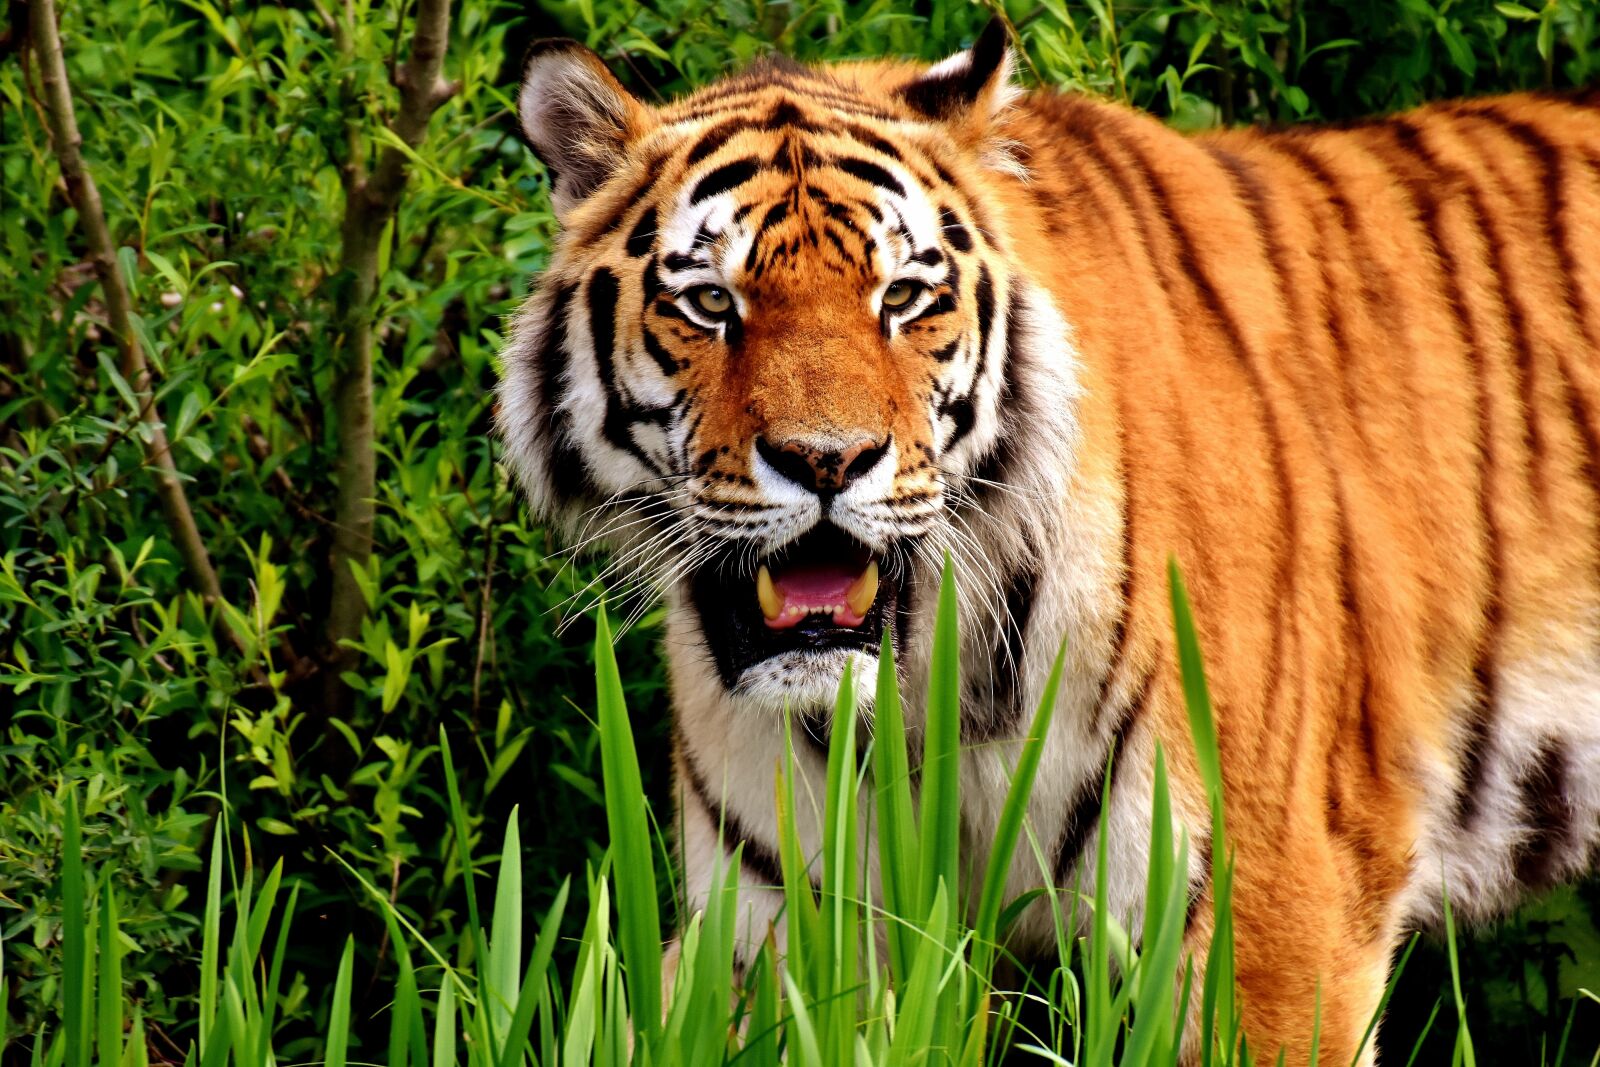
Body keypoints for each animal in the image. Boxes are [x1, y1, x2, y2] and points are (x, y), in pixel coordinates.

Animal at [496, 19, 1600, 1064]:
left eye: (902, 298)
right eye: (710, 303)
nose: (826, 461)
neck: (932, 686)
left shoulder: (1277, 900)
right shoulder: (780, 922)